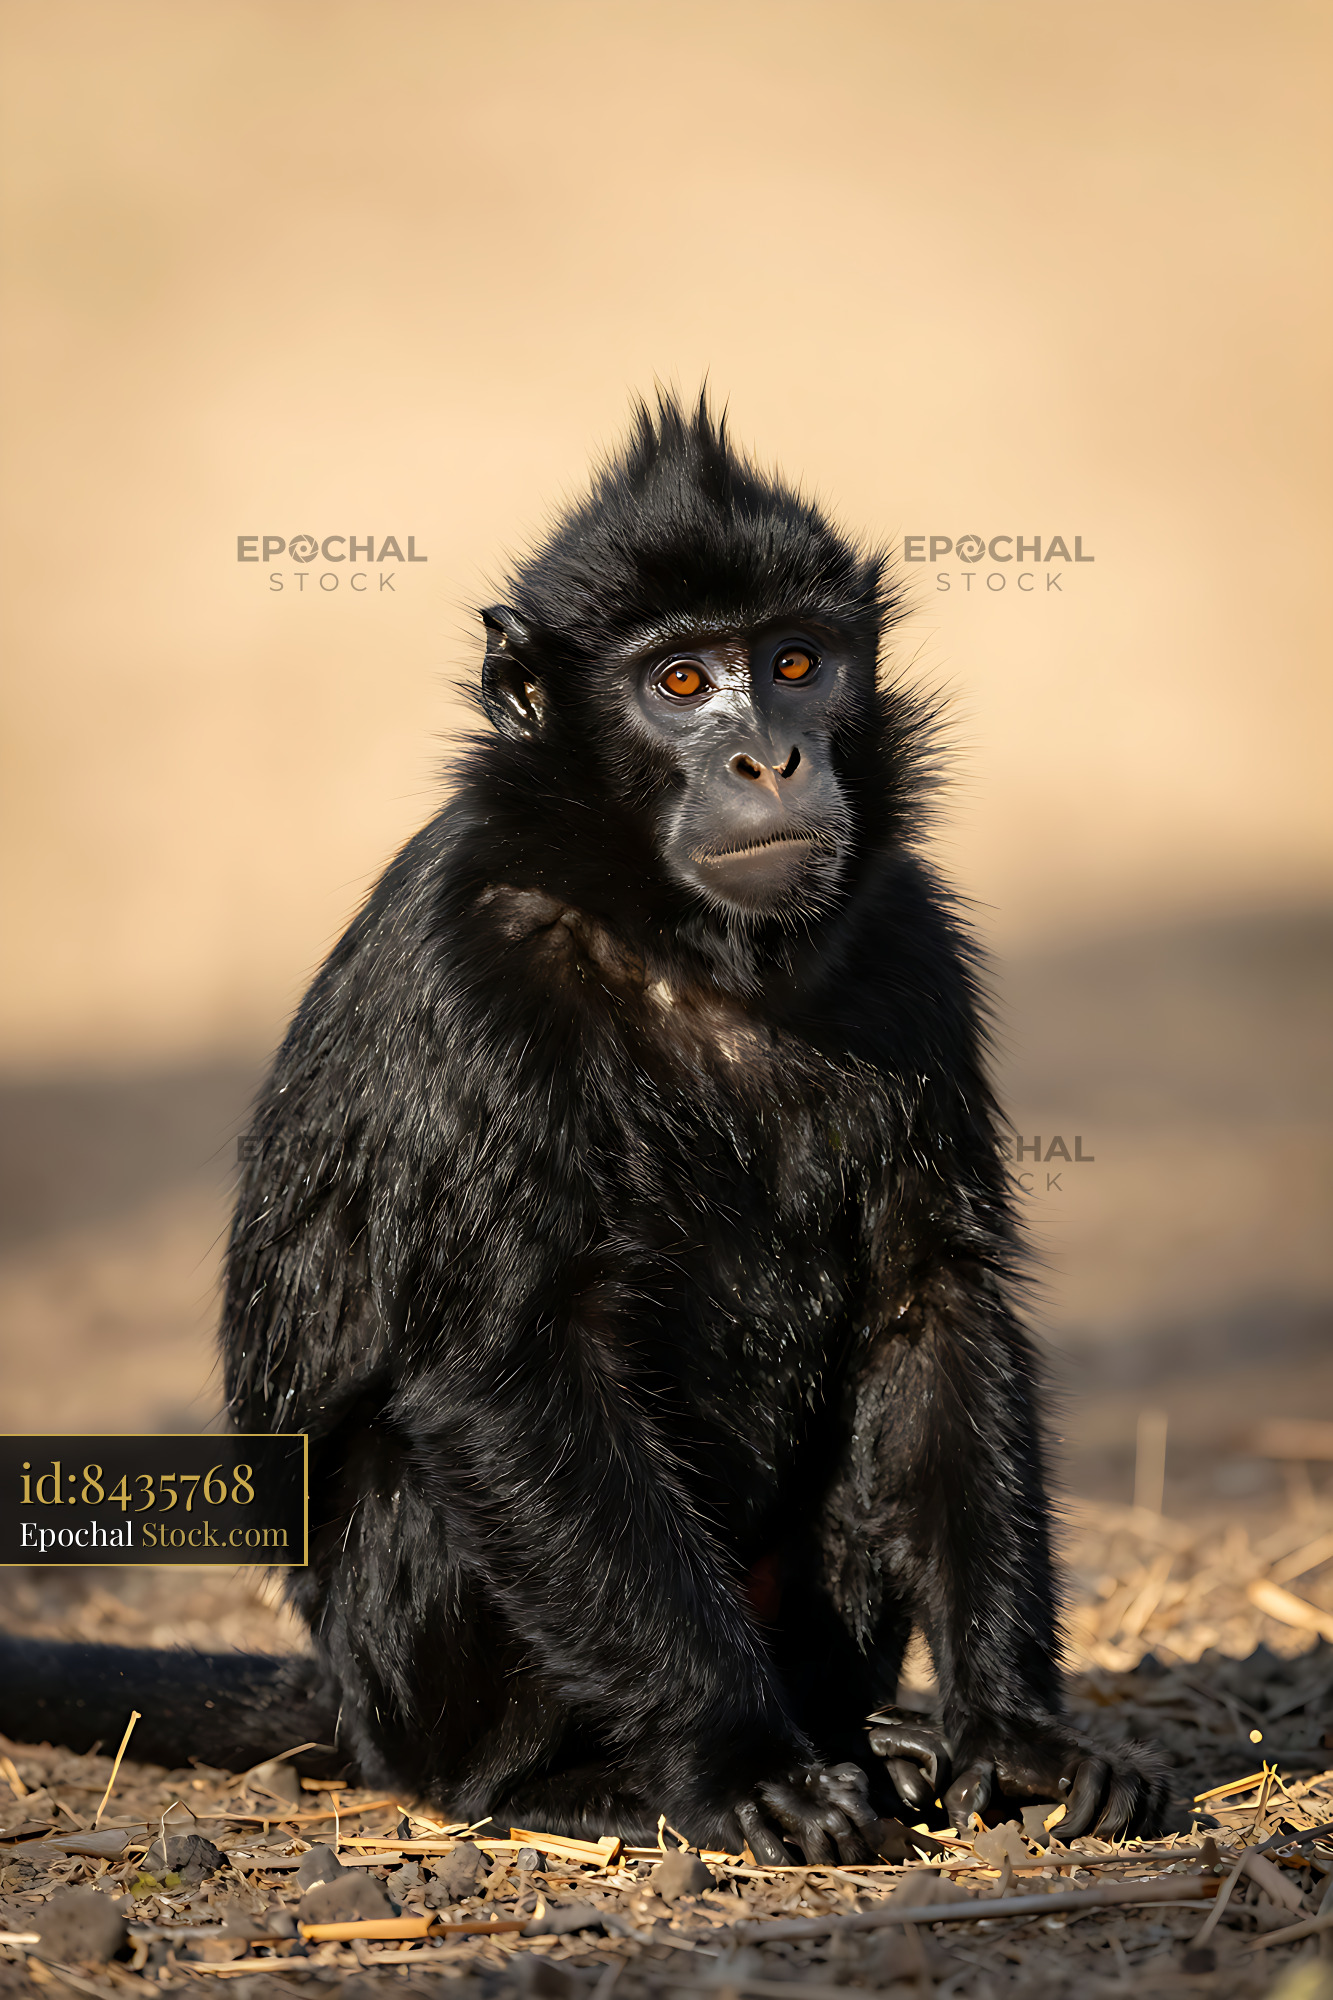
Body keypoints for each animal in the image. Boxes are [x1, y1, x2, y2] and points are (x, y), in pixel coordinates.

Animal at [0, 394, 1163, 1858]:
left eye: (795, 662)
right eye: (679, 684)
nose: (769, 754)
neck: (683, 948)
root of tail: (357, 1707)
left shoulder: (905, 935)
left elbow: (929, 1301)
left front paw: (1011, 1735)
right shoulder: (480, 966)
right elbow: (510, 1367)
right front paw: (743, 1771)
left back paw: (864, 1734)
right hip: (415, 1694)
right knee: (432, 1496)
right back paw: (576, 1781)